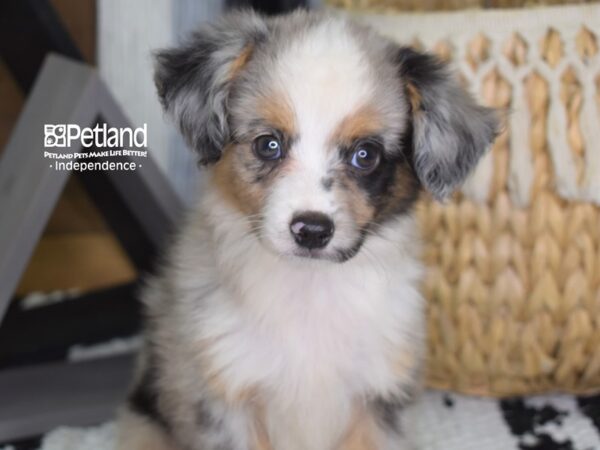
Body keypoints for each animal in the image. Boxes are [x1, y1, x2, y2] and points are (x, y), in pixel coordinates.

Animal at [116, 7, 496, 450]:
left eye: (366, 155)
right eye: (268, 144)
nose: (312, 231)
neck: (310, 289)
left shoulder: (380, 397)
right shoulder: (226, 396)